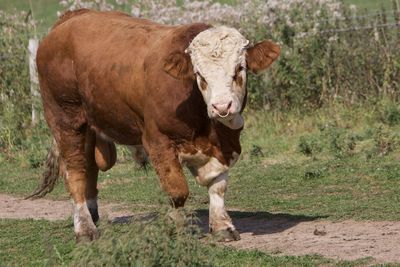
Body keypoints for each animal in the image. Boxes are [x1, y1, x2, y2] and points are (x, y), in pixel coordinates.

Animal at [32, 9, 280, 242]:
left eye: (240, 69)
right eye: (199, 75)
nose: (221, 106)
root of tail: (71, 17)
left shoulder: (225, 143)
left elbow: (217, 185)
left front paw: (222, 227)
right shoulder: (158, 141)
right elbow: (177, 191)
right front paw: (175, 227)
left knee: (90, 166)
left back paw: (92, 215)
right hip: (65, 117)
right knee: (75, 171)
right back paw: (84, 228)